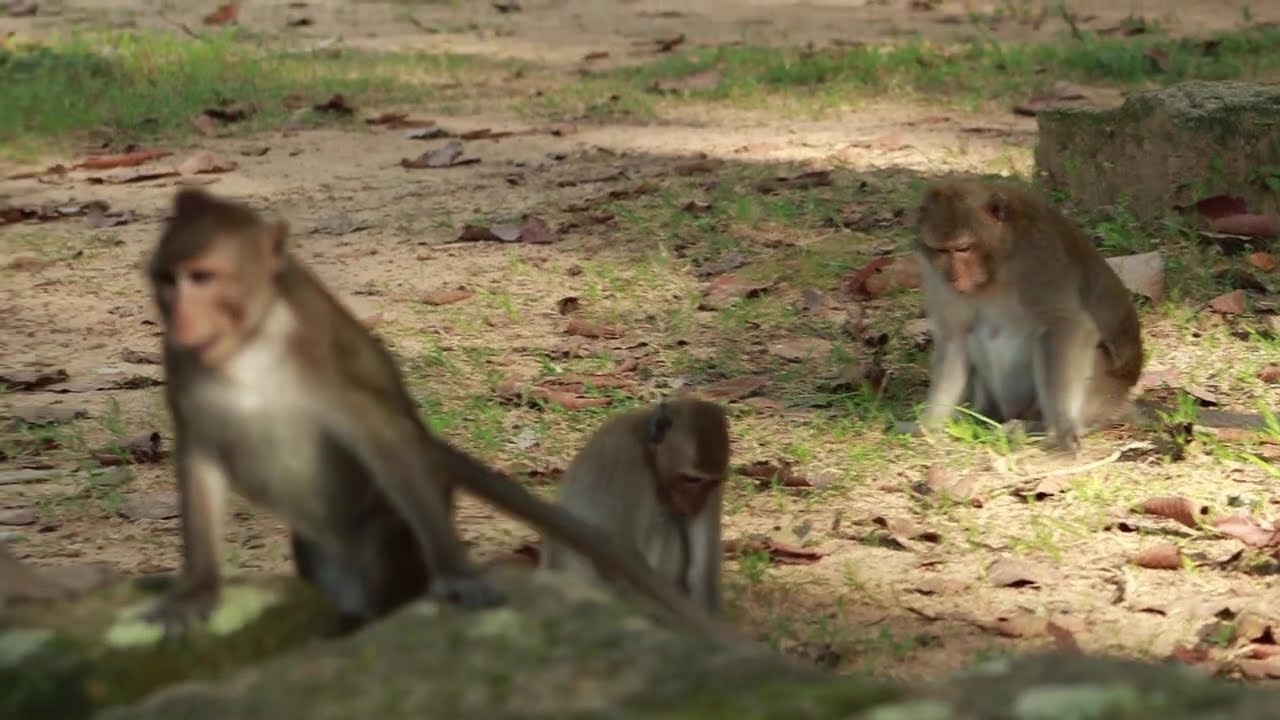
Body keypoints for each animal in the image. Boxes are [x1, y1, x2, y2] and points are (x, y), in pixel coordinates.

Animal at [540, 398, 729, 615]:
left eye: (711, 483)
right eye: (691, 479)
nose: (695, 504)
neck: (648, 452)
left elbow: (702, 574)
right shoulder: (627, 462)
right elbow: (622, 558)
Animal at [912, 178, 1144, 453]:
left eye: (962, 248)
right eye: (940, 250)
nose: (952, 277)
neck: (997, 264)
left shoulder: (1039, 257)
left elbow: (1066, 323)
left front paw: (1061, 427)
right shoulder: (934, 273)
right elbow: (954, 336)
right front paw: (929, 424)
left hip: (1102, 395)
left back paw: (1033, 427)